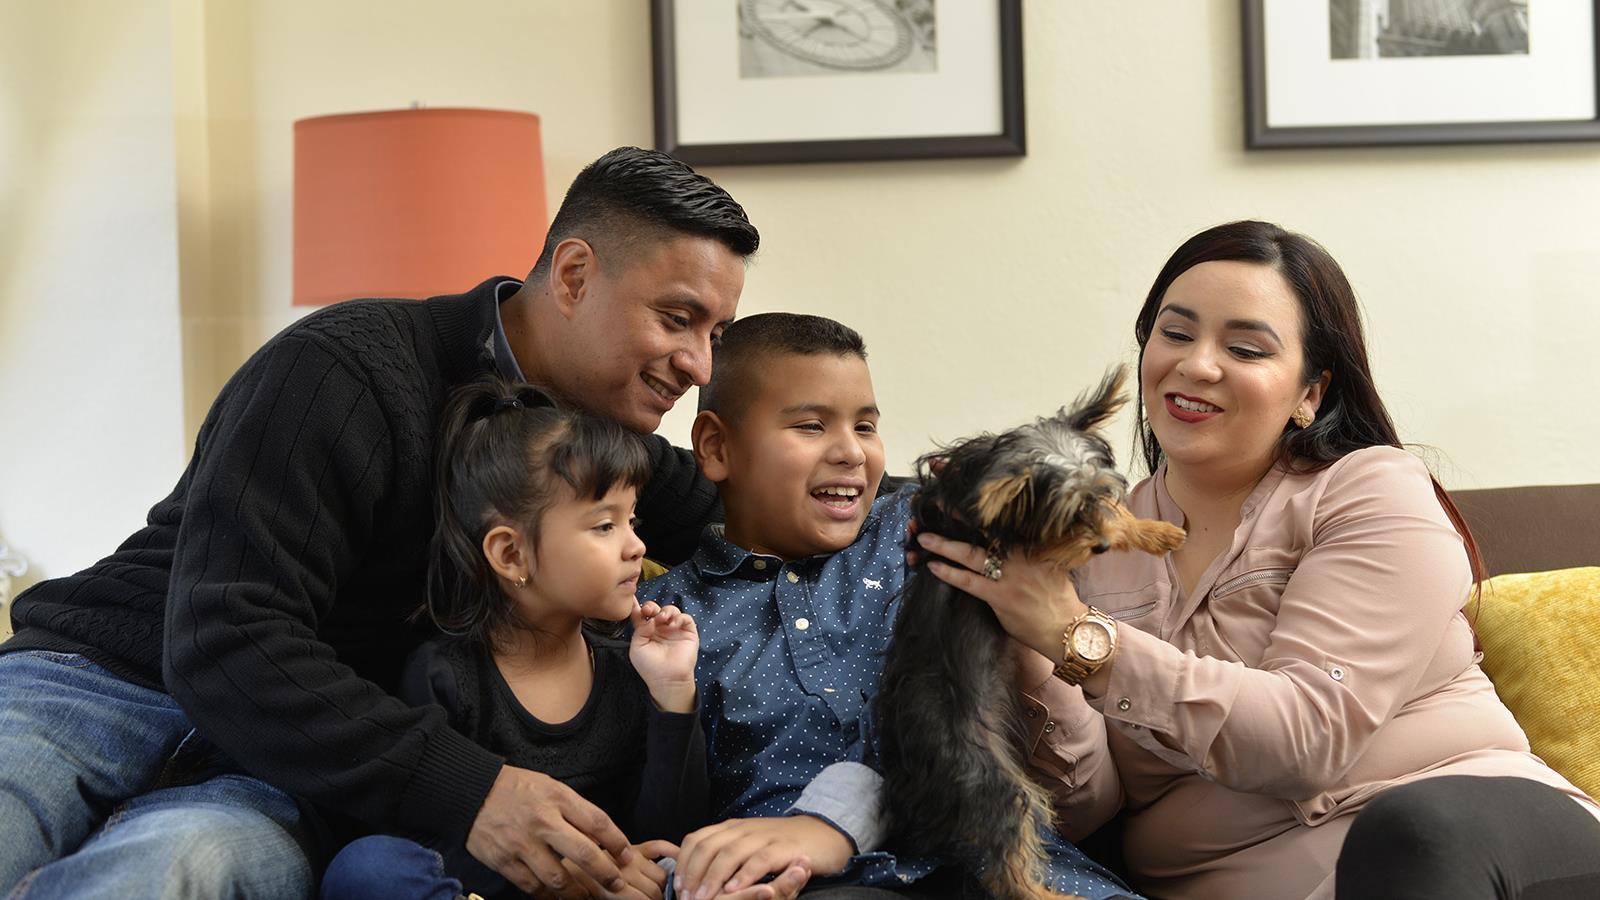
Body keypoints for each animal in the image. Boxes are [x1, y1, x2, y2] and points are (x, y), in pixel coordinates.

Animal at [876, 366, 1190, 896]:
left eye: (1101, 495)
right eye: (1066, 516)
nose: (1101, 547)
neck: (994, 463)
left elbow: (1122, 517)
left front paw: (1151, 530)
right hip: (993, 782)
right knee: (1008, 862)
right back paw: (1044, 892)